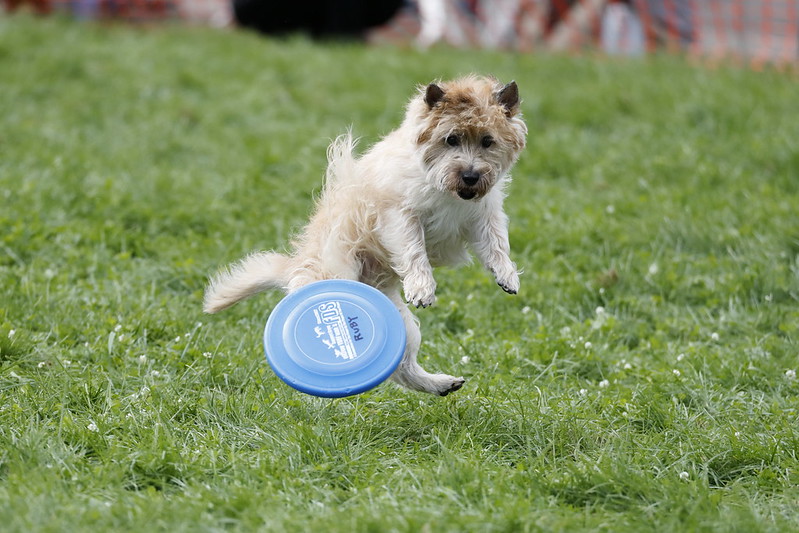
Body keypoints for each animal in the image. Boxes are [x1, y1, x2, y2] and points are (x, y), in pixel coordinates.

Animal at [206, 77, 528, 396]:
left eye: (488, 141)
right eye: (451, 139)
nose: (471, 177)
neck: (446, 190)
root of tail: (294, 268)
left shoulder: (484, 215)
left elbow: (496, 244)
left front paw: (507, 275)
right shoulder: (399, 216)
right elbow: (414, 250)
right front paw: (422, 287)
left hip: (402, 325)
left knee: (402, 368)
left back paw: (441, 384)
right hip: (340, 273)